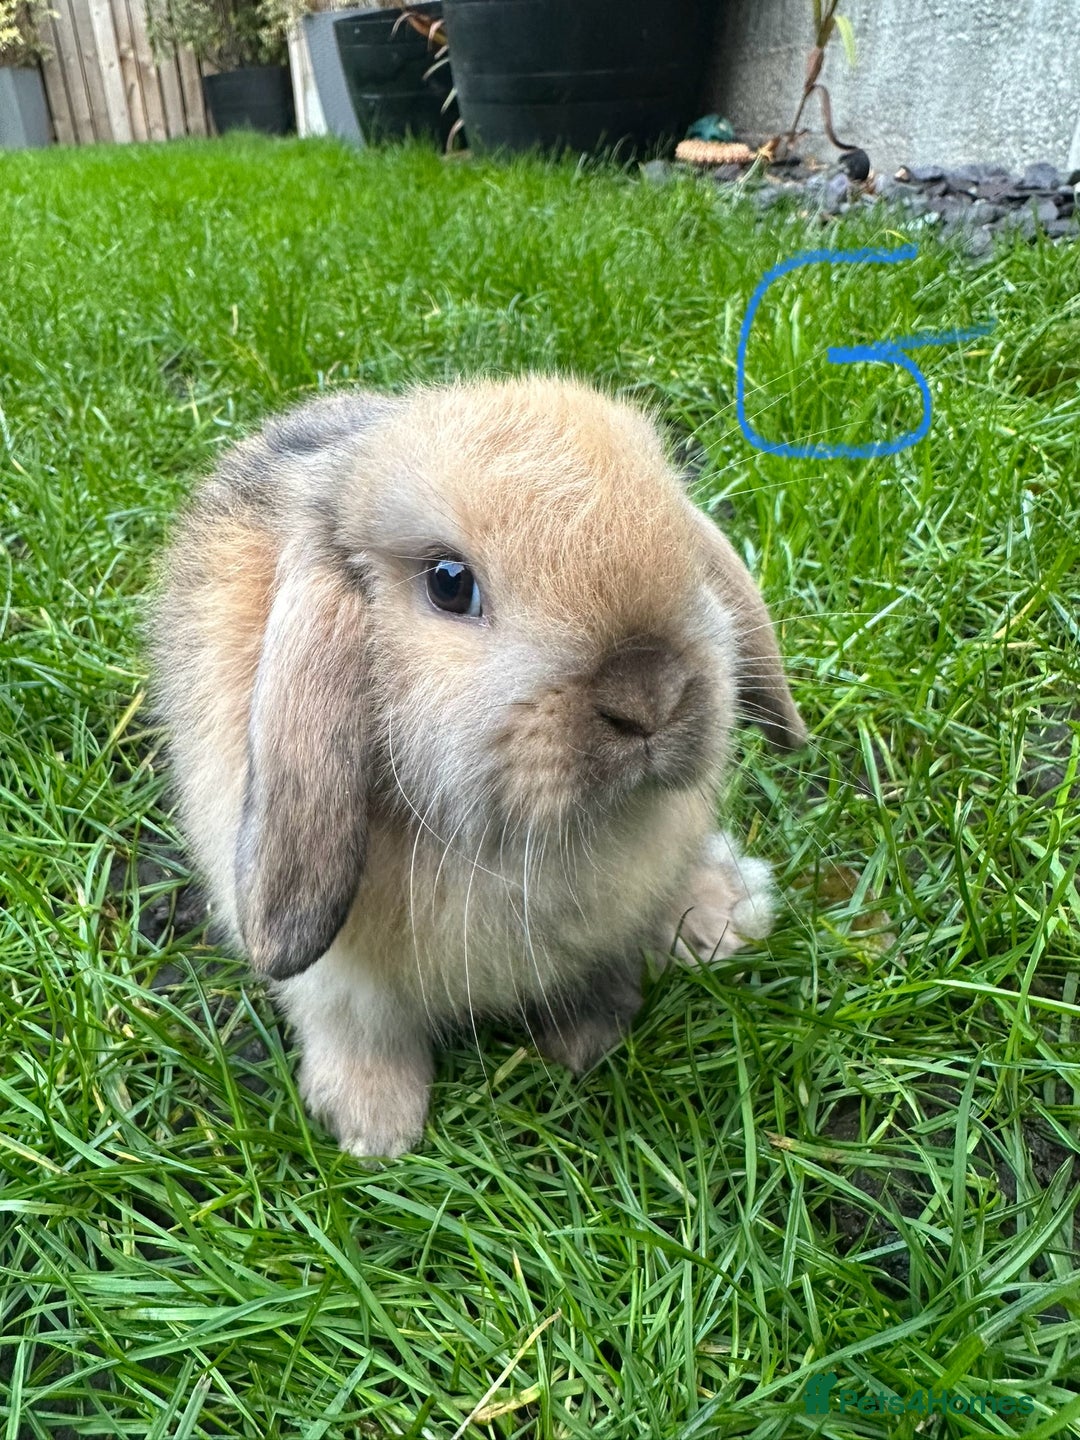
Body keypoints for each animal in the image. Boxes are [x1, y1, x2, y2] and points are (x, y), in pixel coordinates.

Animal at [150, 376, 806, 1158]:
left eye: (678, 534)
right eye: (449, 583)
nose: (651, 695)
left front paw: (587, 1036)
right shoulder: (338, 980)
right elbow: (357, 1028)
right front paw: (376, 1128)